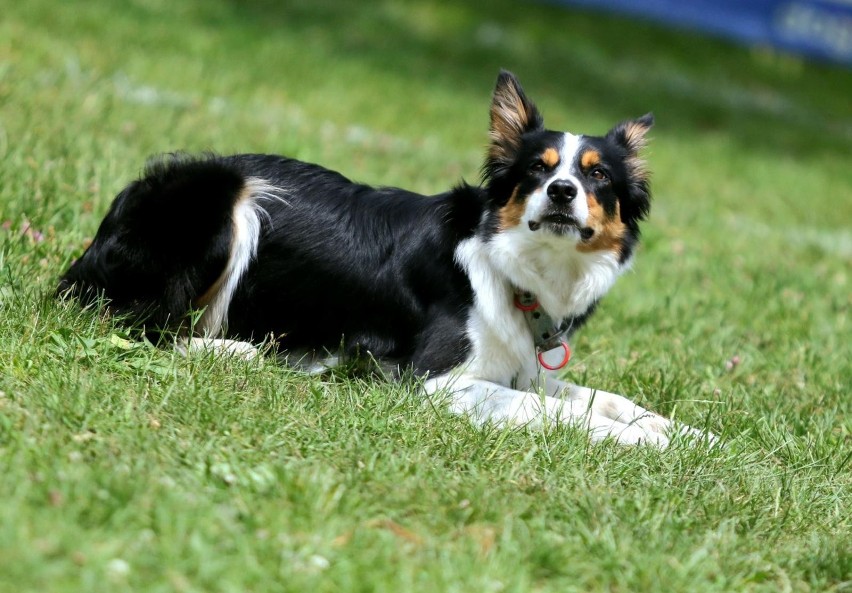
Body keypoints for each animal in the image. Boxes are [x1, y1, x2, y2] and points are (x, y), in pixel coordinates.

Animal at [58, 70, 712, 444]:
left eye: (597, 176)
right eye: (537, 169)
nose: (561, 192)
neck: (512, 270)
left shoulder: (526, 365)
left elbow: (604, 398)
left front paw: (688, 433)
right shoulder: (435, 382)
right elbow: (548, 409)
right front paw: (656, 444)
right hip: (222, 196)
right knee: (142, 320)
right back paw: (240, 350)